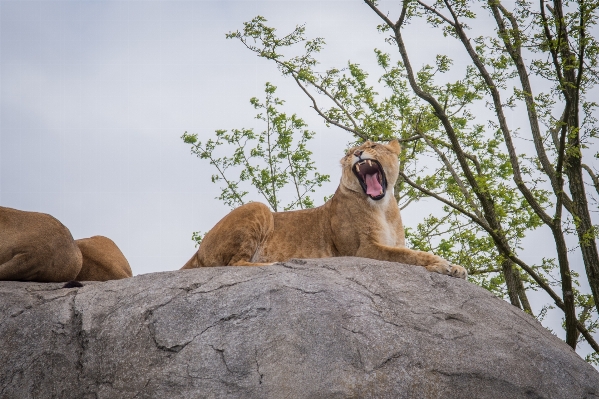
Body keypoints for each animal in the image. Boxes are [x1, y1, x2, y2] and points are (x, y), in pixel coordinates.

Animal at [182, 142, 468, 280]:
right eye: (350, 152)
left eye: (373, 145)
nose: (359, 153)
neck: (384, 206)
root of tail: (198, 249)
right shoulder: (363, 250)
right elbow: (408, 255)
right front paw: (442, 264)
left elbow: (408, 251)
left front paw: (456, 267)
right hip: (258, 207)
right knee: (234, 264)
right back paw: (273, 263)